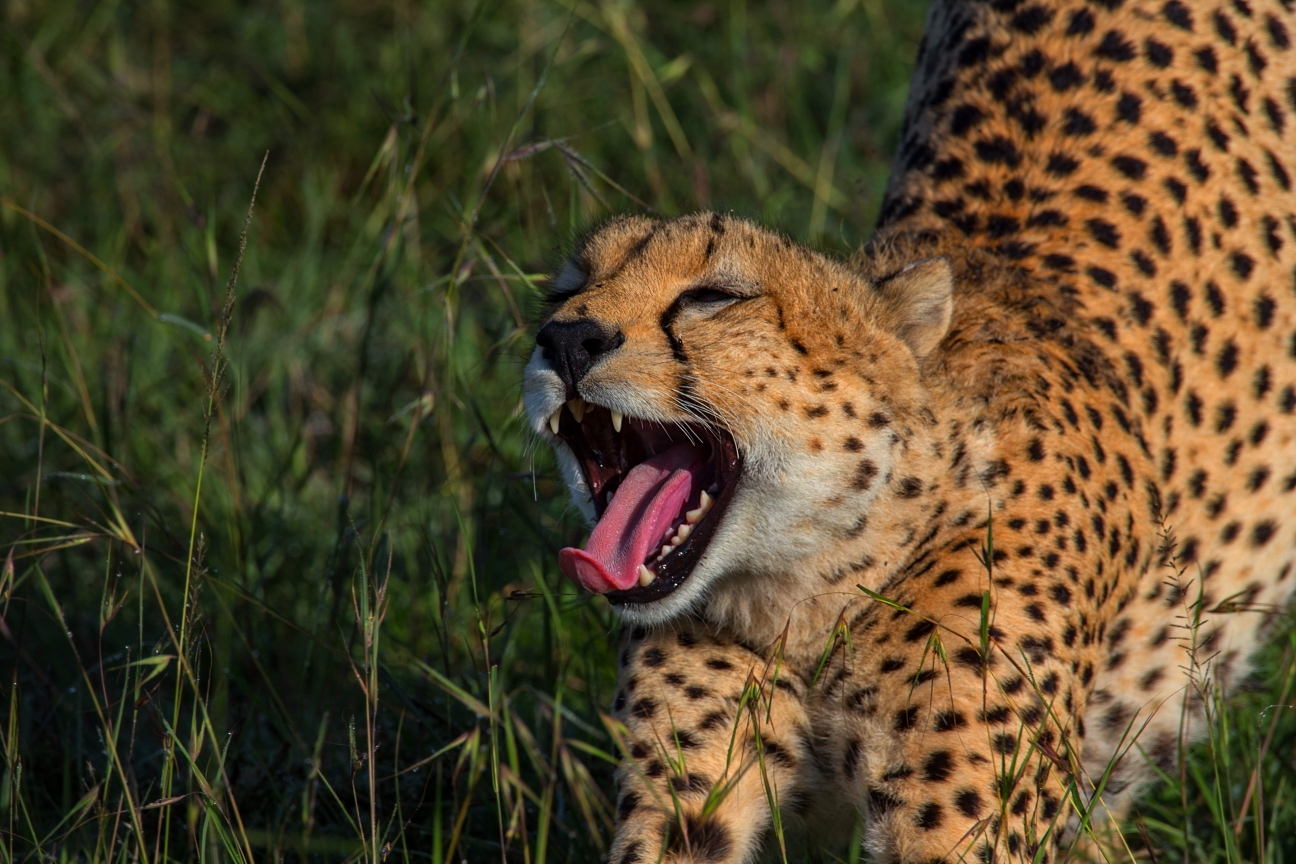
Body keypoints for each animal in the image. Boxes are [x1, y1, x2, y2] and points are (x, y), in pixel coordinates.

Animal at [518, 1, 1296, 860]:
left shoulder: (964, 822)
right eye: (565, 289)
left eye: (712, 297)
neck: (808, 601)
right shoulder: (686, 795)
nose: (566, 339)